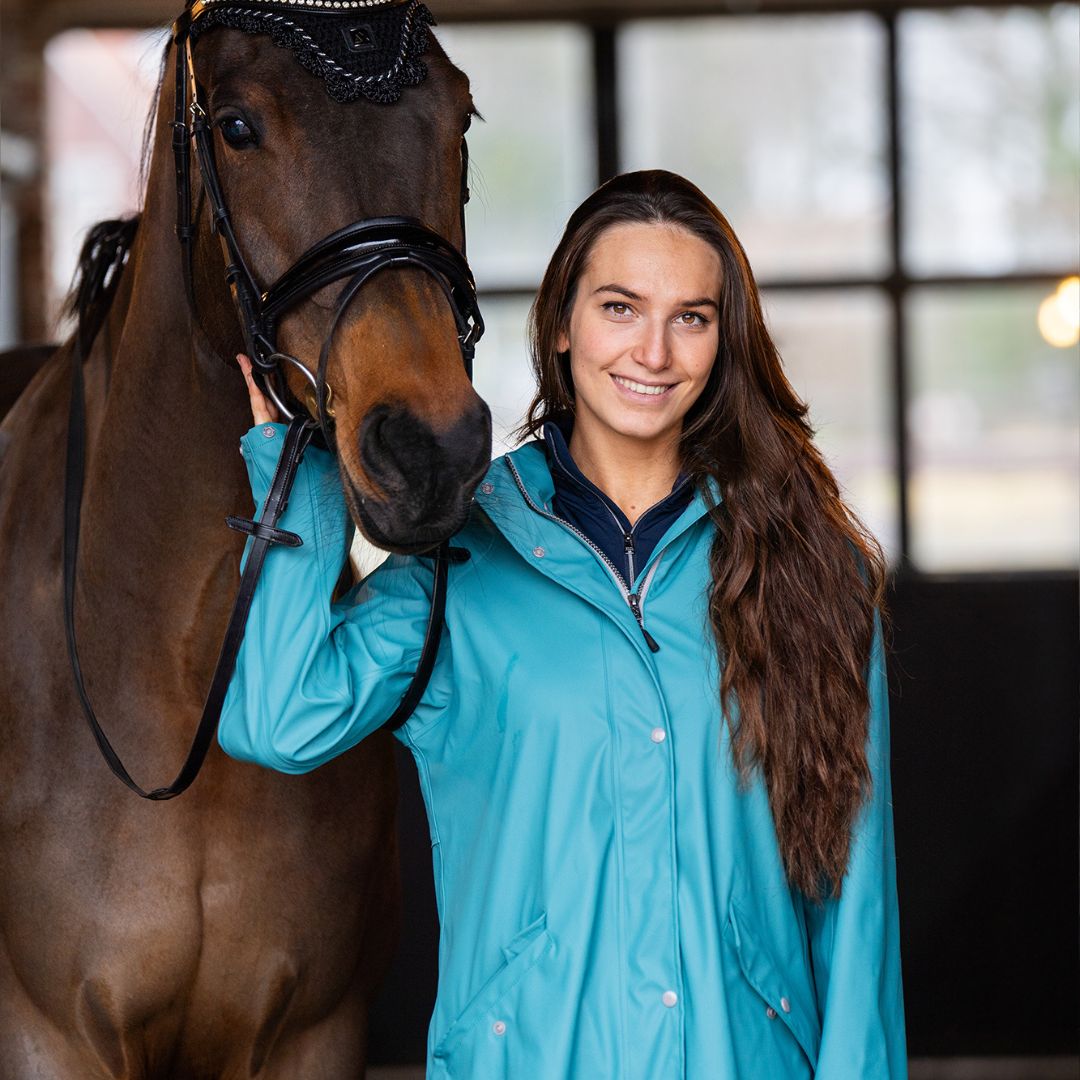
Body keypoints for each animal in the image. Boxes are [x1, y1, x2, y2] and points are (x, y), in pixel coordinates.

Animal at [0, 1, 491, 1074]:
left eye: (462, 116)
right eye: (235, 126)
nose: (431, 449)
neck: (183, 669)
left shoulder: (312, 1033)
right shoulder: (47, 1036)